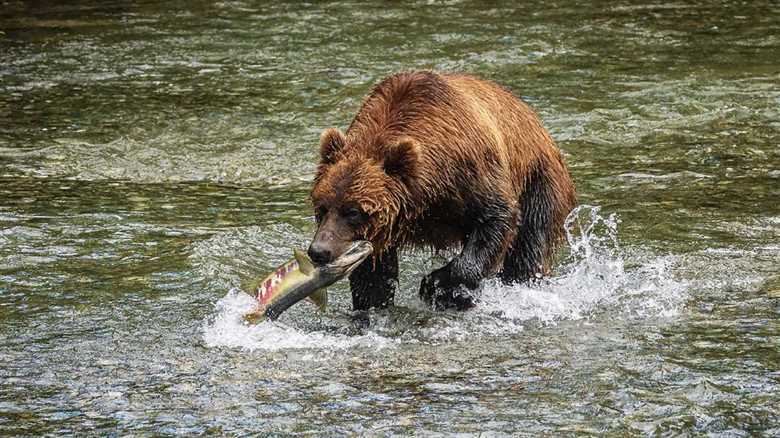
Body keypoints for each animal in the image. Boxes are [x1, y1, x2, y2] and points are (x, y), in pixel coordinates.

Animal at [308, 70, 576, 312]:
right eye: (321, 207)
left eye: (353, 211)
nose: (319, 251)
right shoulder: (382, 229)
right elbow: (373, 275)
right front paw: (372, 306)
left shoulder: (471, 174)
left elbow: (497, 219)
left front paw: (435, 286)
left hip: (539, 180)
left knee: (529, 246)